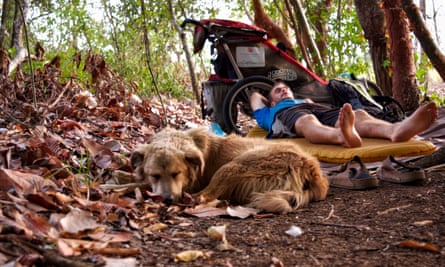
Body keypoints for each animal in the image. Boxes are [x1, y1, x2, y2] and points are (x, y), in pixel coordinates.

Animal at [130, 127, 328, 214]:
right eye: (155, 176)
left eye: (176, 174)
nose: (168, 200)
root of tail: (311, 170)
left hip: (232, 167)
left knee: (204, 196)